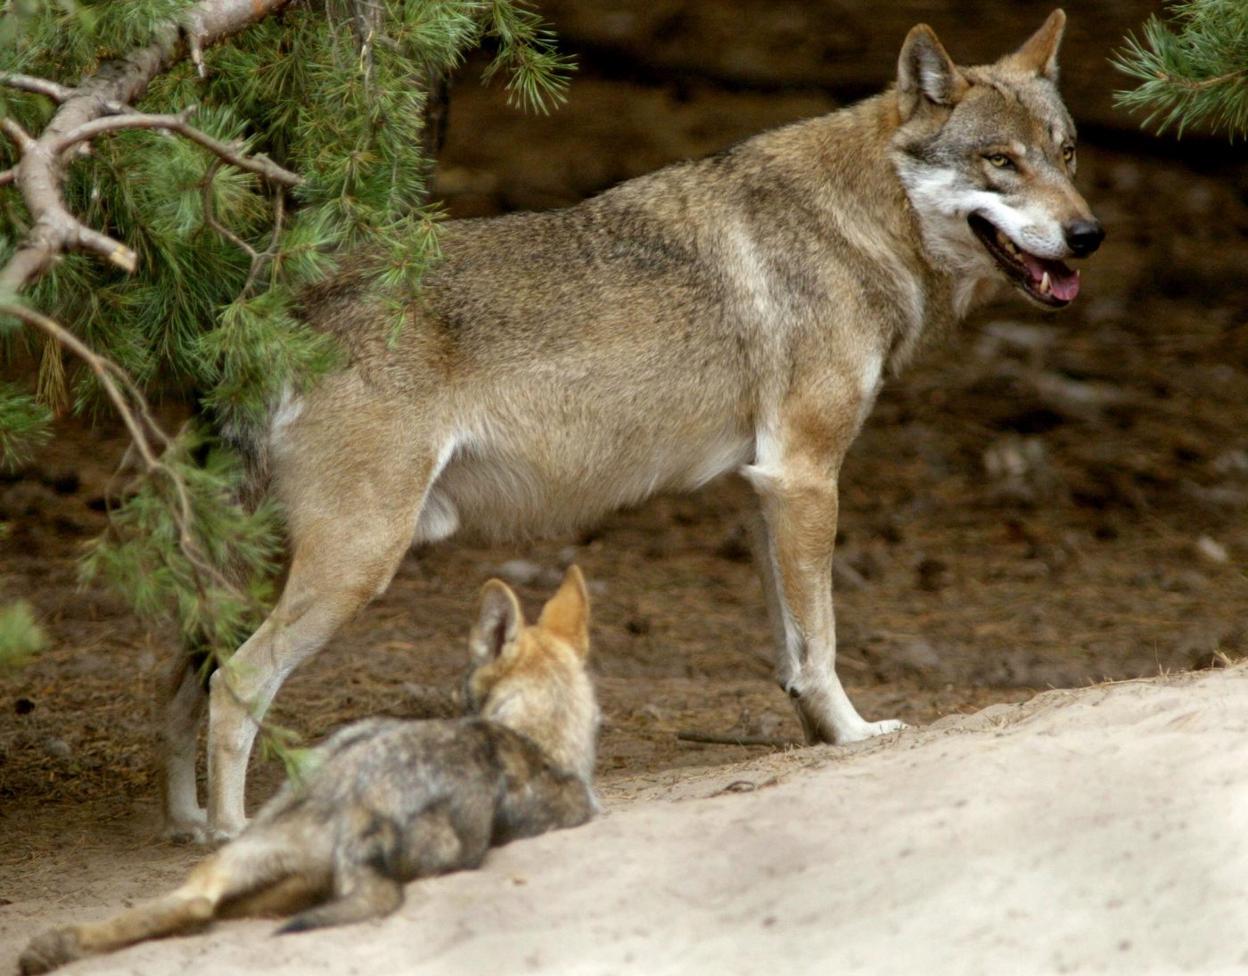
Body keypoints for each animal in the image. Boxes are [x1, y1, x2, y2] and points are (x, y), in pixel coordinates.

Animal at [168, 7, 1103, 843]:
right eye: (1000, 161)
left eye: (1064, 153)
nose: (1088, 234)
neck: (861, 219)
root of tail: (272, 313)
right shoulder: (805, 476)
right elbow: (825, 643)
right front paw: (854, 736)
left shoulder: (764, 488)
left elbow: (793, 651)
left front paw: (813, 739)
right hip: (356, 564)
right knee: (236, 684)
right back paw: (230, 833)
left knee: (187, 681)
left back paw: (189, 824)